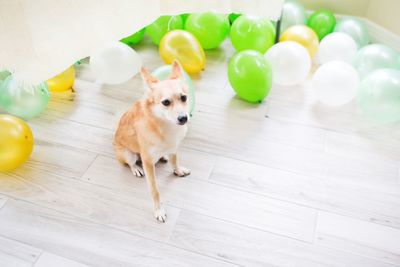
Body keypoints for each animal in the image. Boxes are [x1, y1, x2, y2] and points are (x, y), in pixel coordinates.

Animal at [114, 61, 191, 224]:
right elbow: (155, 190)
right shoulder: (148, 161)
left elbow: (175, 160)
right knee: (130, 163)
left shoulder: (174, 147)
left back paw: (163, 157)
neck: (164, 124)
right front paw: (158, 210)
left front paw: (178, 170)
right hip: (128, 154)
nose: (183, 118)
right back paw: (136, 168)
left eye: (184, 98)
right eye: (166, 102)